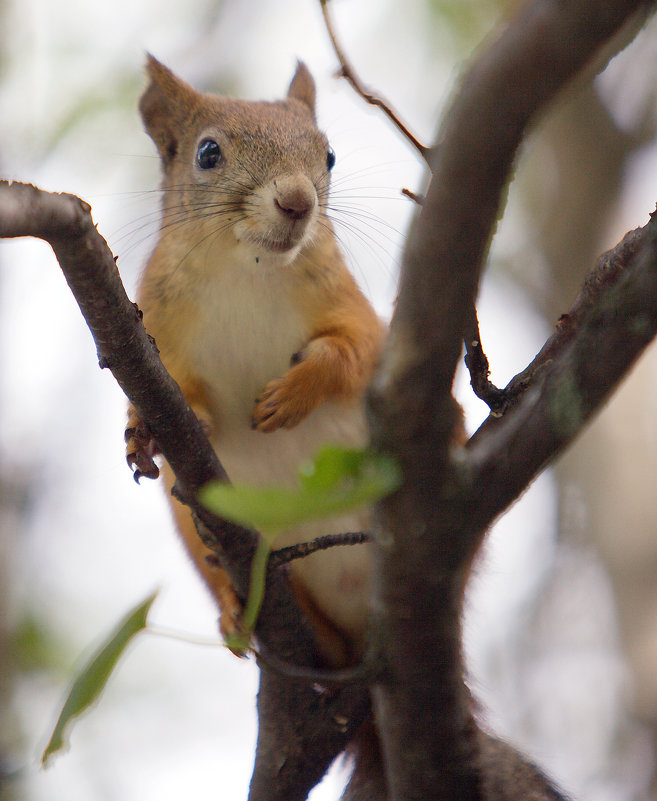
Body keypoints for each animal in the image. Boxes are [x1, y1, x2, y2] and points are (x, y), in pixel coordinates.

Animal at [124, 56, 384, 664]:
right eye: (207, 153)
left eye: (328, 155)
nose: (298, 202)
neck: (247, 268)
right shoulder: (155, 327)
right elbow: (165, 391)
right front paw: (145, 430)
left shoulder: (349, 306)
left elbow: (355, 349)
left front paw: (291, 396)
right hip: (192, 530)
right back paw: (236, 611)